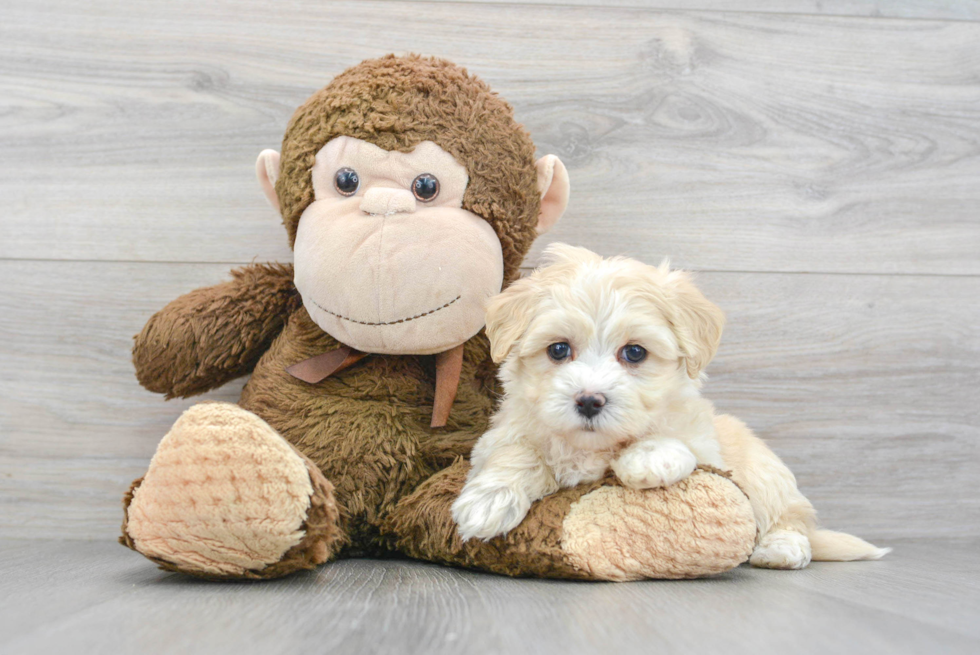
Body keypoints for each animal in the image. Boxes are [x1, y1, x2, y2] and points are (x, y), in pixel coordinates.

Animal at [452, 245, 888, 568]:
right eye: (558, 349)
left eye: (635, 352)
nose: (590, 400)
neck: (593, 447)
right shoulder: (500, 436)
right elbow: (518, 453)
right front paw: (487, 503)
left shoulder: (707, 447)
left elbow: (675, 438)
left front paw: (647, 457)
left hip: (766, 476)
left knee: (791, 517)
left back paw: (780, 549)